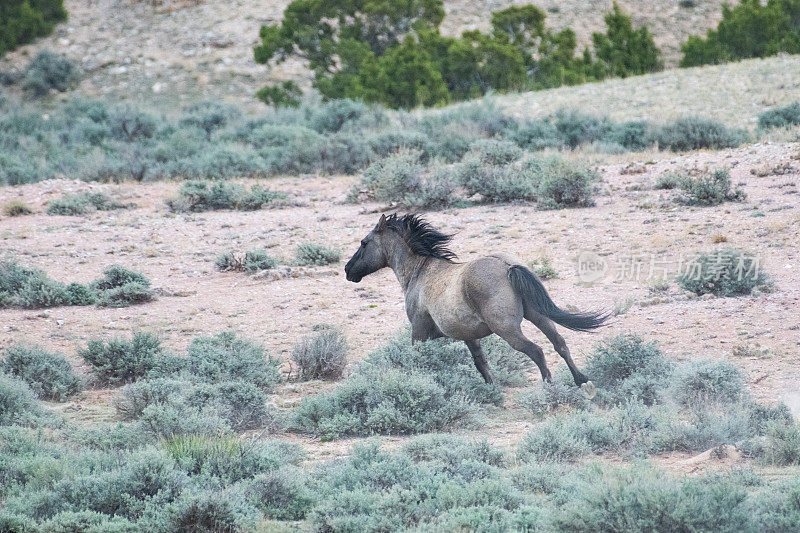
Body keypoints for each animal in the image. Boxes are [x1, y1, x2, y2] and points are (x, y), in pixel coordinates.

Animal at [342, 213, 608, 394]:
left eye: (364, 243)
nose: (347, 270)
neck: (420, 272)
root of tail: (507, 266)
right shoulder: (469, 336)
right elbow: (481, 363)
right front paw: (492, 390)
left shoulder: (419, 333)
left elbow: (417, 360)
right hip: (538, 316)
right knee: (559, 343)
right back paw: (582, 381)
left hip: (507, 329)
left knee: (536, 350)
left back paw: (549, 387)